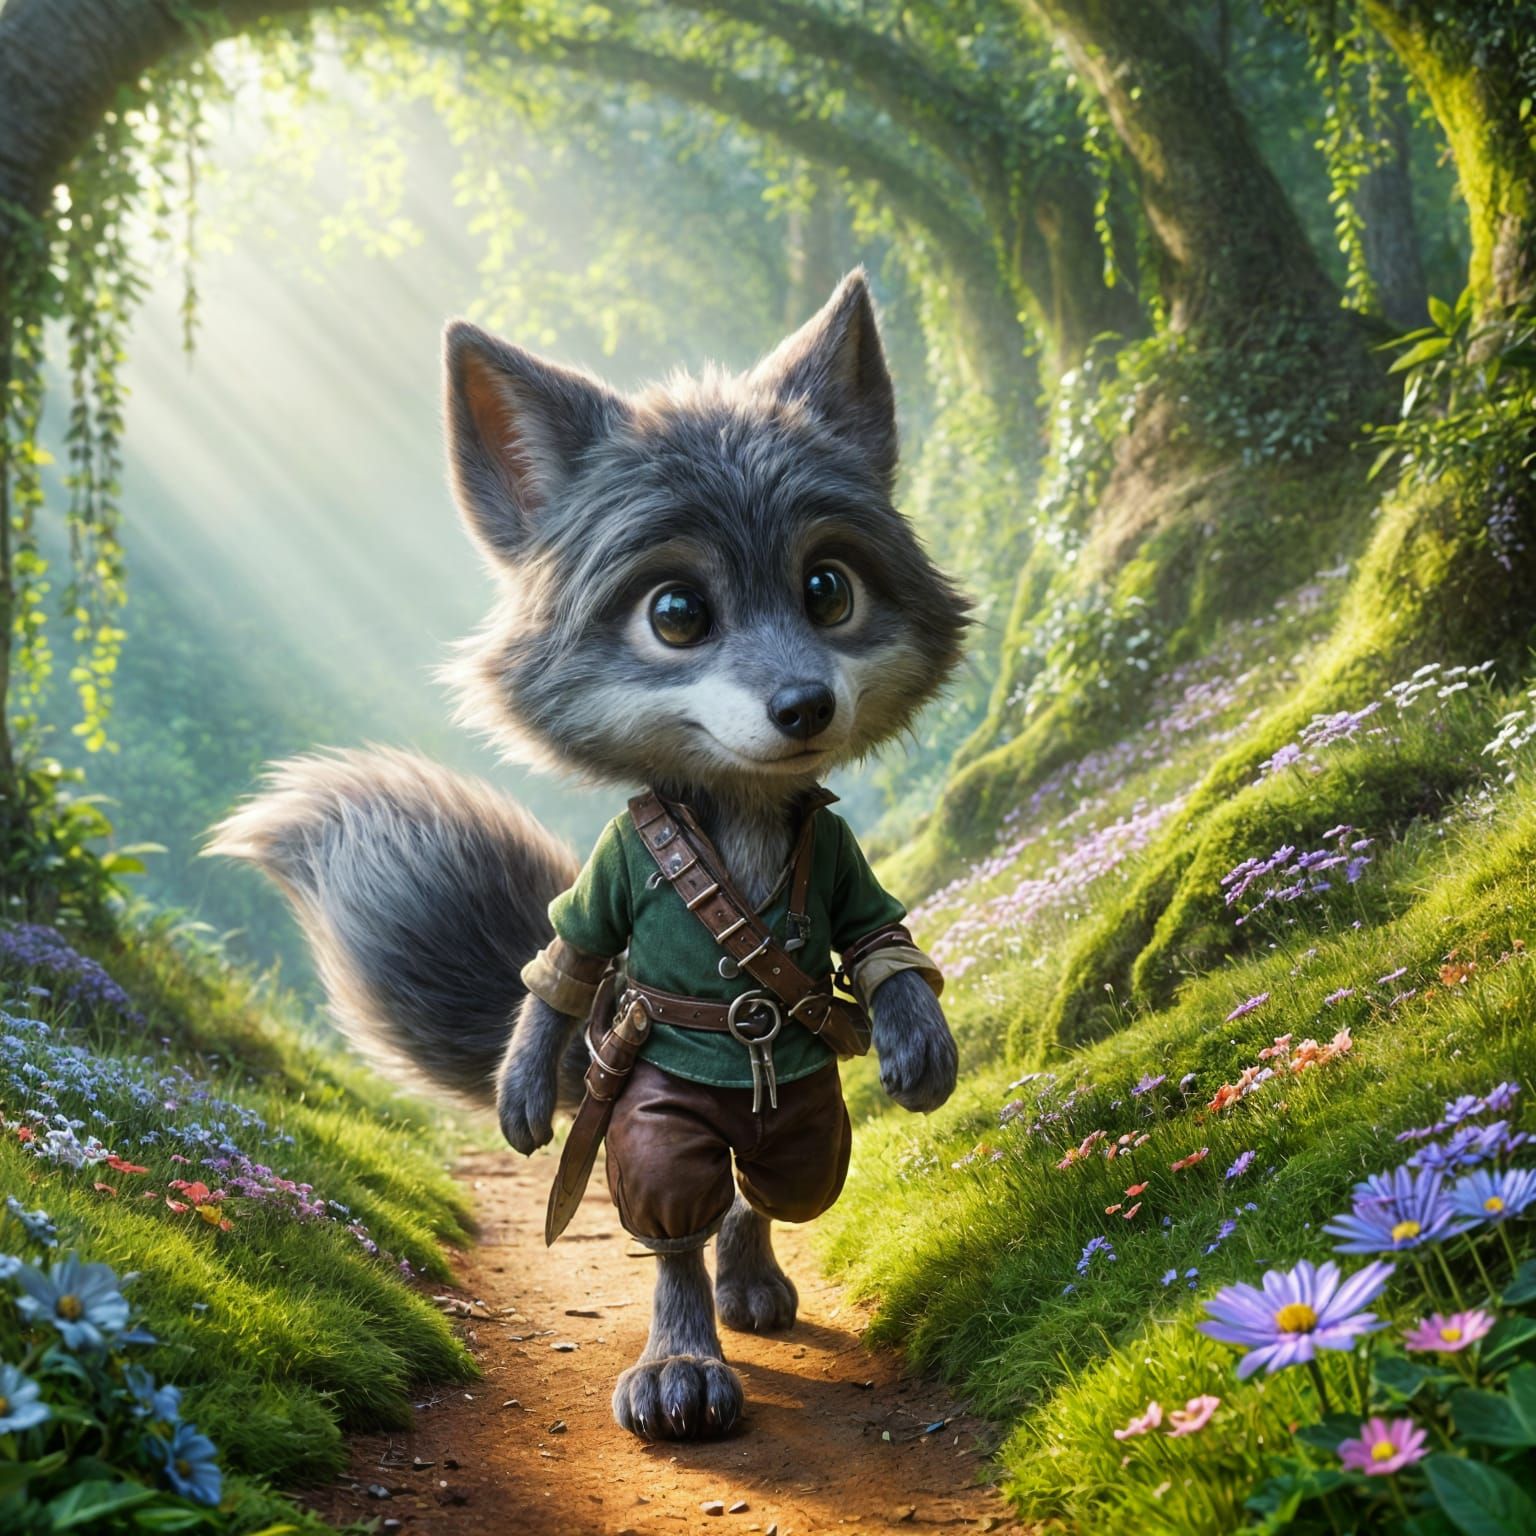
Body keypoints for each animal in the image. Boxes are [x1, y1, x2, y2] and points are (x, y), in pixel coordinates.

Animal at [209, 270, 966, 1442]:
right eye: (677, 612)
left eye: (829, 591)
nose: (805, 706)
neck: (740, 823)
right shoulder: (614, 887)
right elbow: (565, 965)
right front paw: (526, 1097)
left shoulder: (839, 870)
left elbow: (882, 939)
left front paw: (919, 1045)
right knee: (685, 1204)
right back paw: (684, 1358)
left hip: (797, 1120)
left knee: (775, 1181)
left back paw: (749, 1283)